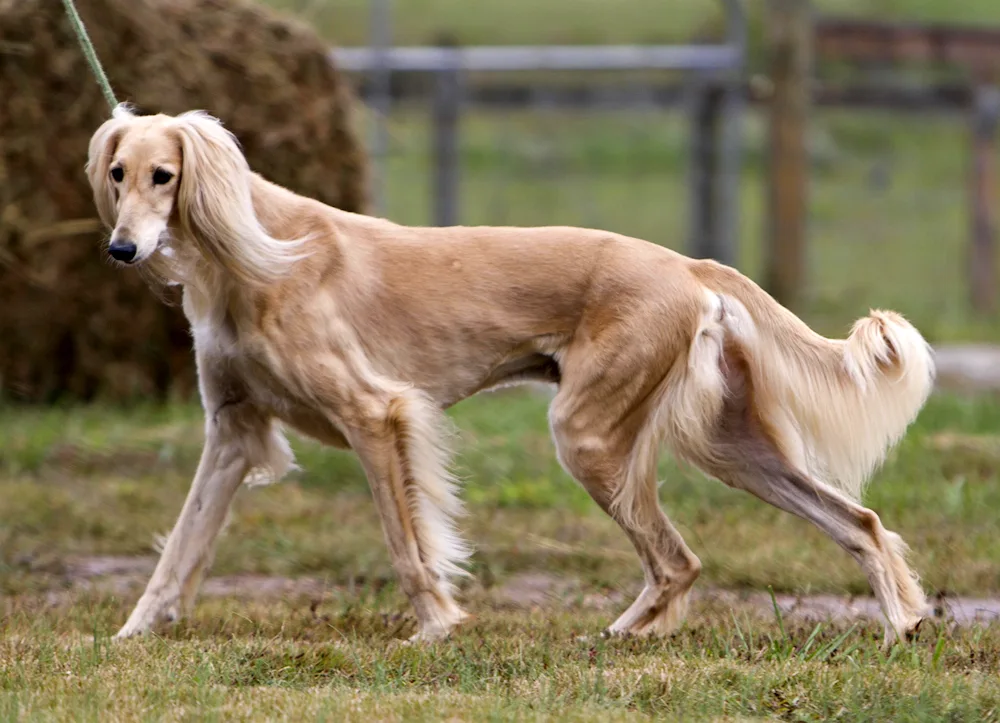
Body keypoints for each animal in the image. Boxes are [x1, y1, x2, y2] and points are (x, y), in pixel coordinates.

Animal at [86, 106, 936, 644]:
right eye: (118, 172)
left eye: (166, 175)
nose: (122, 250)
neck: (253, 255)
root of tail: (687, 263)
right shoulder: (232, 430)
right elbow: (179, 548)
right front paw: (131, 633)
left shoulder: (376, 413)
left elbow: (407, 544)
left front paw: (437, 626)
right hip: (731, 446)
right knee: (856, 521)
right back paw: (903, 622)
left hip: (588, 433)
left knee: (679, 559)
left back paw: (618, 635)